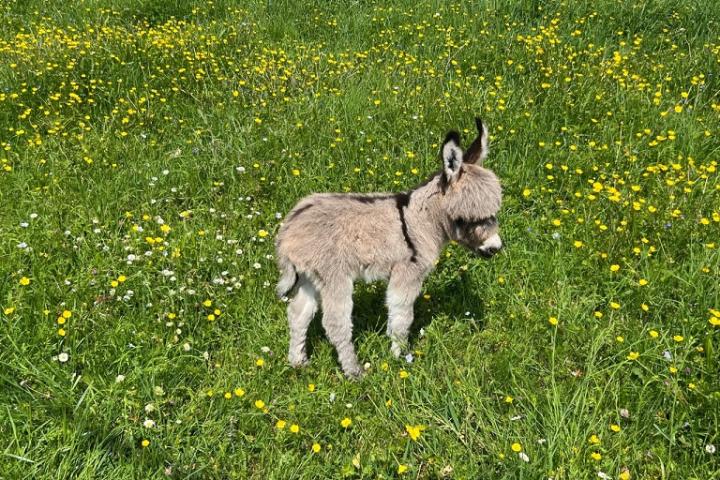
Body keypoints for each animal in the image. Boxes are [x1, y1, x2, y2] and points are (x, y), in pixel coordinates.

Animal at [272, 118, 504, 376]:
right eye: (466, 218)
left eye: (494, 212)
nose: (495, 248)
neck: (419, 220)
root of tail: (289, 229)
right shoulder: (408, 272)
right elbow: (402, 315)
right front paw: (398, 357)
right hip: (333, 275)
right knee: (335, 323)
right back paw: (354, 372)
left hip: (309, 276)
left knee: (298, 314)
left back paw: (297, 362)